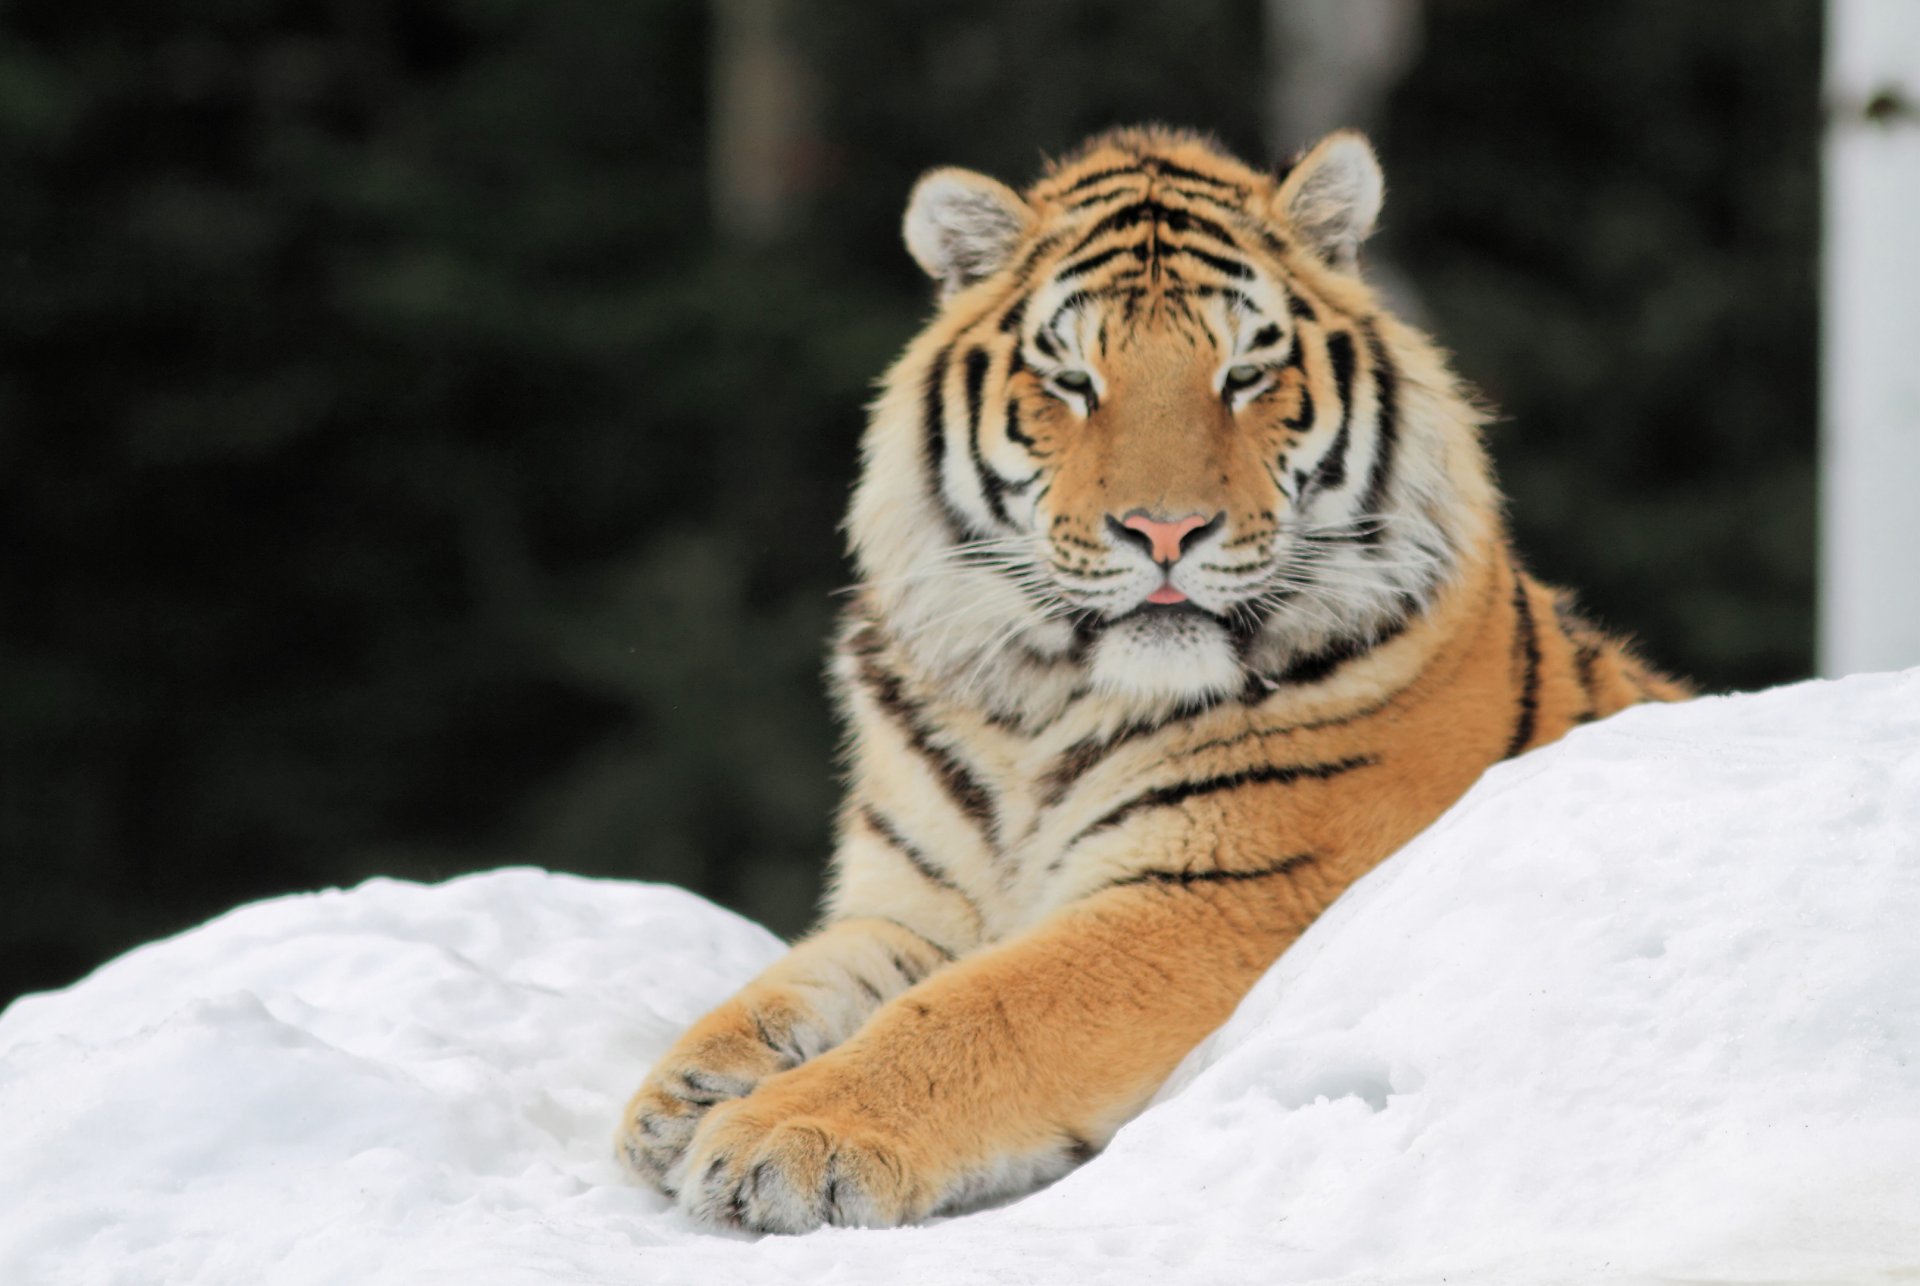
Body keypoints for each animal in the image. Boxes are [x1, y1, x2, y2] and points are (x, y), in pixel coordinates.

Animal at [616, 125, 1688, 1233]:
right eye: (1073, 379)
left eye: (1246, 372)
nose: (1165, 530)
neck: (1033, 707)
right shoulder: (919, 899)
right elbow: (811, 973)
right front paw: (685, 1090)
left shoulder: (1213, 895)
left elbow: (981, 1008)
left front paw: (785, 1137)